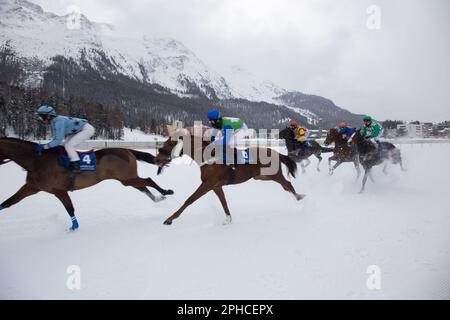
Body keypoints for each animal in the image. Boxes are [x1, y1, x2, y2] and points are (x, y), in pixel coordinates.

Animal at [0, 138, 174, 230]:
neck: (36, 160)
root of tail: (127, 150)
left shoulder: (59, 190)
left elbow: (69, 208)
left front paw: (74, 227)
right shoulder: (32, 187)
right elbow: (8, 202)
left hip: (127, 178)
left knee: (148, 180)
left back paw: (166, 192)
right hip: (126, 180)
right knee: (143, 186)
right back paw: (159, 198)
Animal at [153, 127, 304, 225]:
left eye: (171, 143)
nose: (157, 159)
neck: (207, 157)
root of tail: (277, 153)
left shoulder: (207, 184)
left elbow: (190, 199)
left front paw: (170, 219)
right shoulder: (215, 186)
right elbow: (223, 201)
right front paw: (228, 219)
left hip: (273, 174)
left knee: (288, 184)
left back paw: (299, 198)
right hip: (262, 176)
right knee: (285, 186)